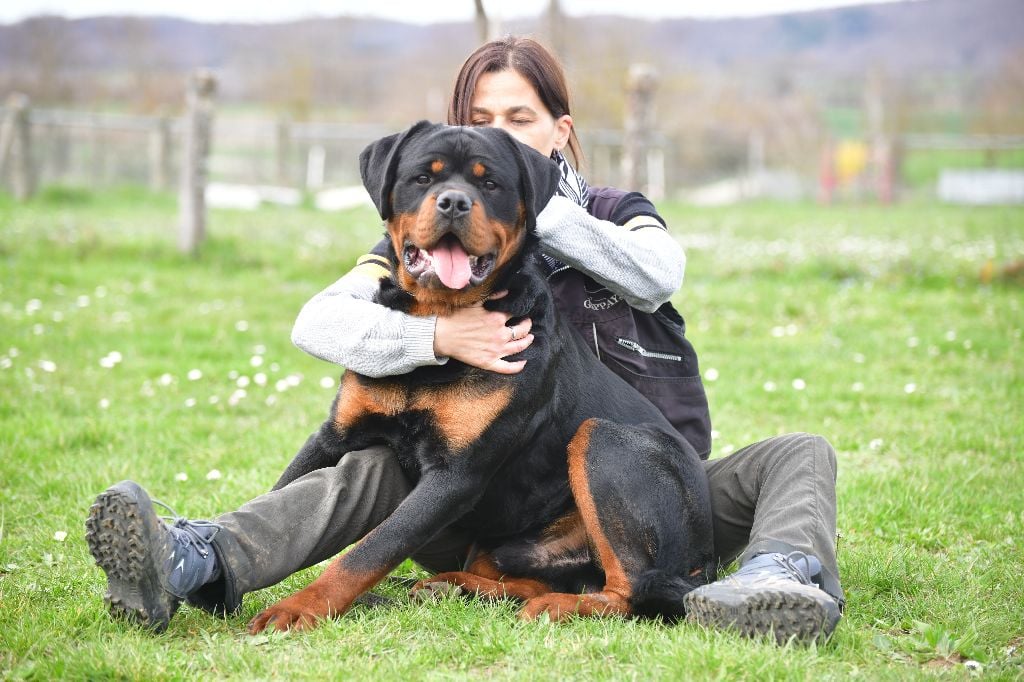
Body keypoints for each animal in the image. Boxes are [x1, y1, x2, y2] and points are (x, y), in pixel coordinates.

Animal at [246, 122, 712, 630]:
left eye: (490, 184)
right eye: (422, 178)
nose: (453, 202)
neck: (439, 314)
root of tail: (705, 560)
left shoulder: (456, 476)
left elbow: (372, 549)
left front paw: (297, 608)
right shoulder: (336, 434)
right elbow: (281, 493)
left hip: (606, 441)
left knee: (630, 588)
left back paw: (555, 605)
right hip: (512, 545)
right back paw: (456, 586)